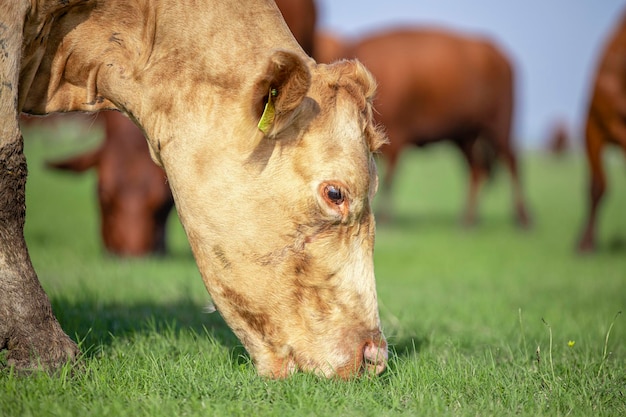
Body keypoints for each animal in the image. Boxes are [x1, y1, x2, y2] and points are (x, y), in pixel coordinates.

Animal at [338, 28, 528, 226]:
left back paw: (523, 218)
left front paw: (384, 217)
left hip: (500, 127)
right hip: (466, 136)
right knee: (476, 169)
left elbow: (389, 177)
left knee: (511, 162)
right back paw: (468, 219)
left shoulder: (395, 138)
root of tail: (500, 56)